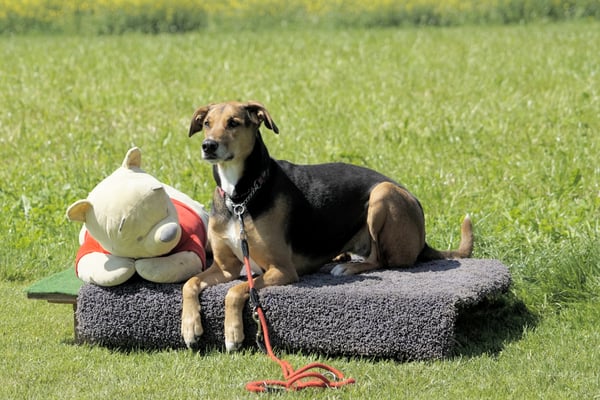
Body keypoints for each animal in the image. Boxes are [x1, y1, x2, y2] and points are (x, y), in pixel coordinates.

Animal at [181, 101, 473, 351]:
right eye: (206, 123)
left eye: (233, 123)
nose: (208, 146)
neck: (240, 199)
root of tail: (423, 239)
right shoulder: (226, 267)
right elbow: (190, 283)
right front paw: (190, 326)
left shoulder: (282, 270)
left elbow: (235, 291)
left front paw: (232, 333)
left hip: (383, 194)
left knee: (381, 260)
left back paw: (347, 267)